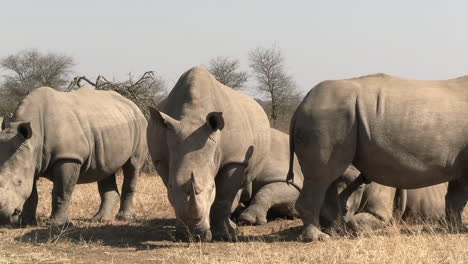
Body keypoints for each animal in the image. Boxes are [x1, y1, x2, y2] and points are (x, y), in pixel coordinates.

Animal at [0, 85, 147, 226]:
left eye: (19, 182)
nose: (3, 216)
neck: (34, 139)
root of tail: (133, 105)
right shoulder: (32, 160)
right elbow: (31, 194)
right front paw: (26, 223)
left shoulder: (68, 157)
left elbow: (62, 191)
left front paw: (59, 224)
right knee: (106, 169)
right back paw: (100, 219)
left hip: (140, 124)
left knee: (132, 166)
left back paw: (125, 218)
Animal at [146, 66, 270, 241]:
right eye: (170, 187)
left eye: (212, 187)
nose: (193, 235)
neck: (192, 117)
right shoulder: (161, 160)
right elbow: (175, 195)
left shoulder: (235, 159)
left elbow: (223, 196)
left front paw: (224, 236)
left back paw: (233, 229)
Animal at [288, 72, 468, 241]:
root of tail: (300, 106)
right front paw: (460, 230)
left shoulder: (460, 163)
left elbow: (456, 198)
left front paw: (456, 229)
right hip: (325, 118)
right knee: (321, 177)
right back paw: (318, 237)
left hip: (331, 117)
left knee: (327, 179)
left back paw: (334, 231)